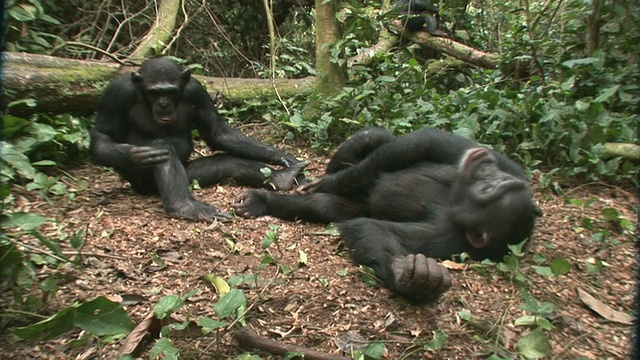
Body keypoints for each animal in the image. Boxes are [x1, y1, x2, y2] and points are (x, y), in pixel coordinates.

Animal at [90, 57, 308, 221]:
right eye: (154, 92)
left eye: (171, 91)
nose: (163, 103)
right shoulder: (116, 93)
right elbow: (102, 134)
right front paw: (135, 154)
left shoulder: (197, 90)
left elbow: (216, 131)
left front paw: (282, 157)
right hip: (142, 182)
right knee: (161, 147)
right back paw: (184, 207)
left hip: (191, 175)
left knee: (228, 162)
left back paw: (284, 177)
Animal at [232, 126, 536, 300]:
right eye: (496, 179)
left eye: (488, 189)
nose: (486, 163)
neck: (455, 201)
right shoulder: (515, 170)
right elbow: (425, 142)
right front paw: (327, 180)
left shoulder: (448, 237)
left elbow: (374, 228)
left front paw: (414, 278)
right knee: (373, 140)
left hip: (349, 205)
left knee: (327, 207)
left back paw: (263, 202)